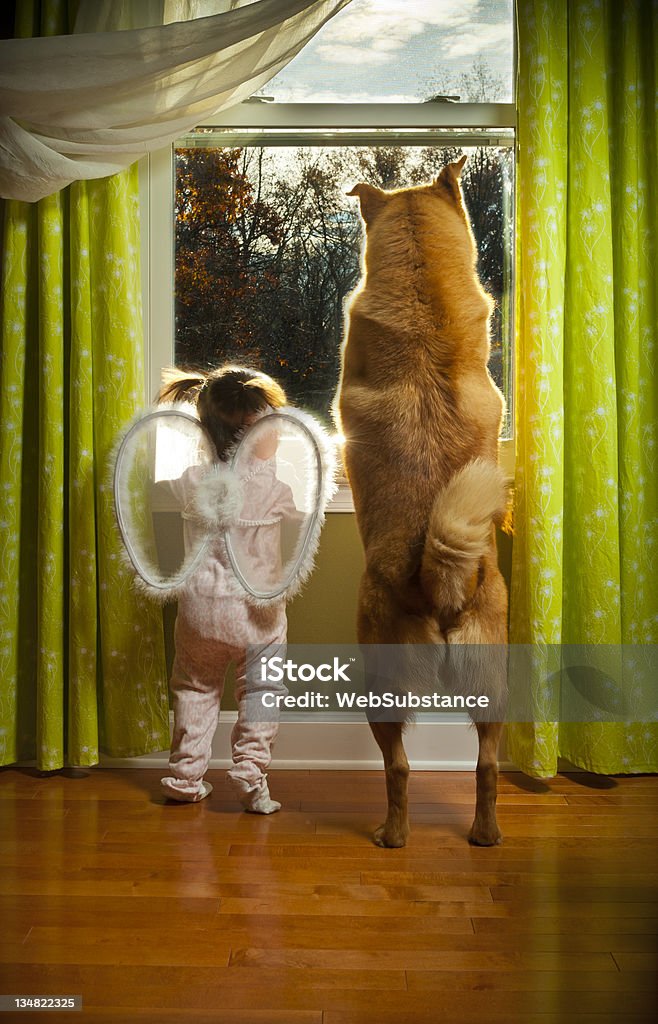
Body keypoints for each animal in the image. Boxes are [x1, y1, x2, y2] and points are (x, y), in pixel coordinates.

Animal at [335, 157, 509, 847]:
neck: (420, 292)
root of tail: (441, 581)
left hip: (378, 678)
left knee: (399, 767)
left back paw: (392, 834)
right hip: (493, 679)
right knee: (487, 765)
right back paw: (485, 835)